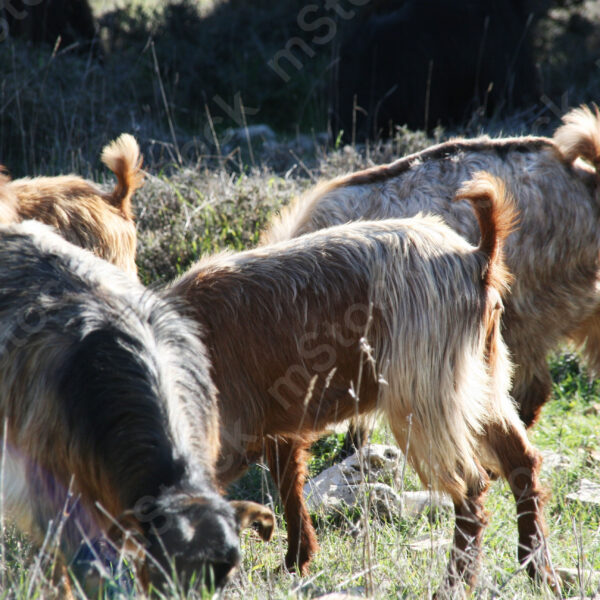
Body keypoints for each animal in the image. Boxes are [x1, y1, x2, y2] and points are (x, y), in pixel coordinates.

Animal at [166, 171, 552, 592]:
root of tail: (476, 257)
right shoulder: (279, 427)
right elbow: (290, 488)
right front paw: (297, 559)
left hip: (426, 399)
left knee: (470, 489)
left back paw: (454, 584)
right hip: (482, 381)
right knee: (522, 463)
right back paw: (539, 569)